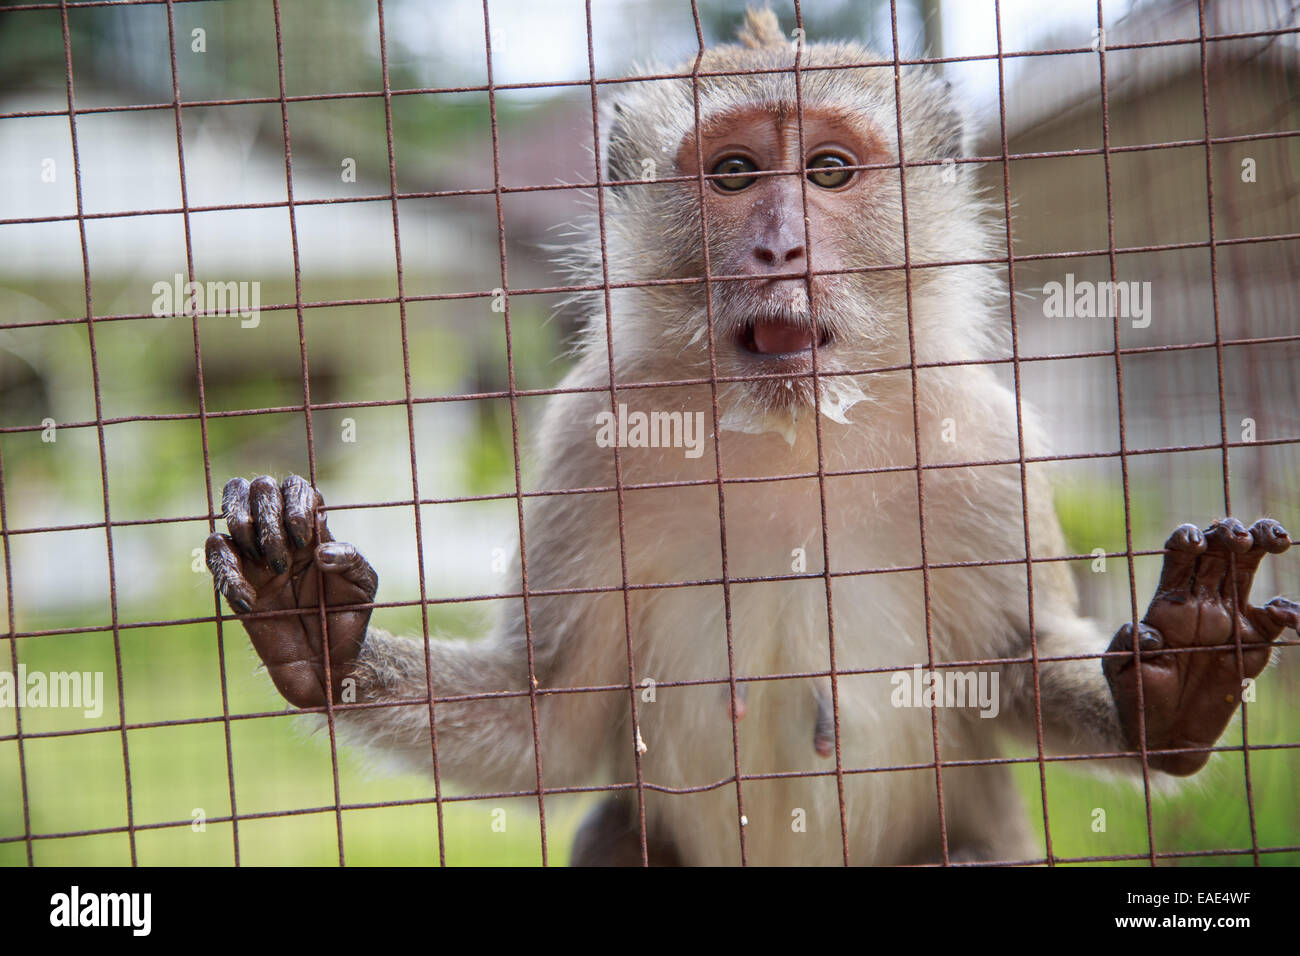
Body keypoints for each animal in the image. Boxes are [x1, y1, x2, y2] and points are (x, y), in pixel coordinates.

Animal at [200, 7, 1289, 863]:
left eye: (828, 170)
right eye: (733, 174)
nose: (781, 247)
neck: (788, 428)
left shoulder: (986, 441)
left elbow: (1019, 666)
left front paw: (1174, 691)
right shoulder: (588, 437)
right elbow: (543, 720)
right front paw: (312, 628)